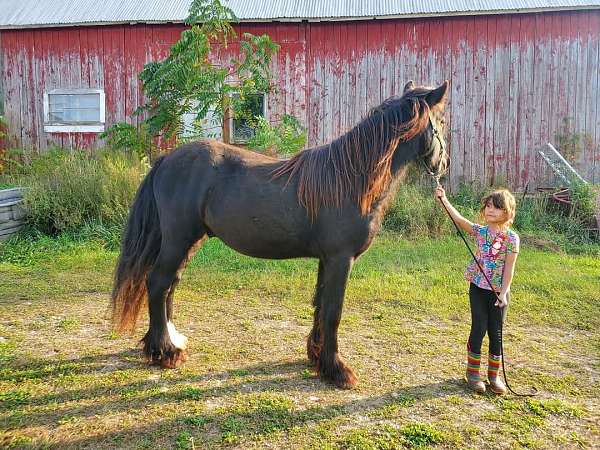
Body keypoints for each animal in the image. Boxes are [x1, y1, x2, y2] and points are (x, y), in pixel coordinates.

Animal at [112, 80, 450, 386]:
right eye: (443, 122)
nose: (443, 164)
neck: (349, 179)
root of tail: (167, 159)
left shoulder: (327, 260)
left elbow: (320, 304)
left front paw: (317, 358)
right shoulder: (341, 259)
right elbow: (333, 311)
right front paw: (338, 370)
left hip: (189, 240)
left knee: (170, 284)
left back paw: (170, 341)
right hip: (178, 239)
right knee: (158, 283)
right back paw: (164, 352)